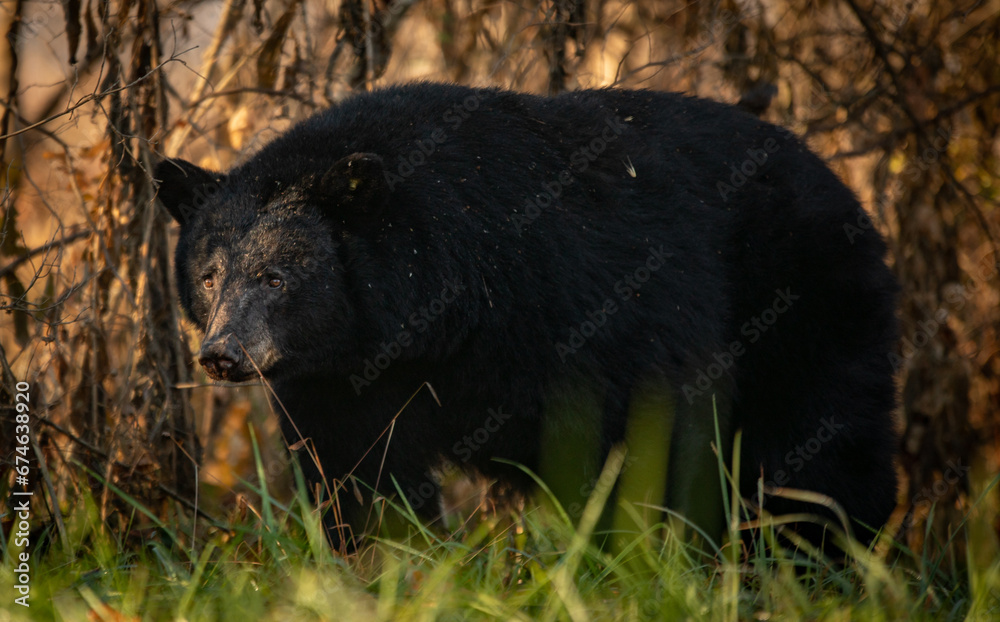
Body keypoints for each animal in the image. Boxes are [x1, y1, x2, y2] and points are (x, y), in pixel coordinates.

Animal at [154, 82, 899, 551]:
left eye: (276, 277)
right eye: (209, 274)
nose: (221, 352)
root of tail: (847, 193)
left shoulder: (575, 306)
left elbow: (629, 440)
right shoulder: (343, 373)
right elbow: (357, 467)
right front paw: (386, 559)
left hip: (807, 304)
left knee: (823, 448)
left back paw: (821, 558)